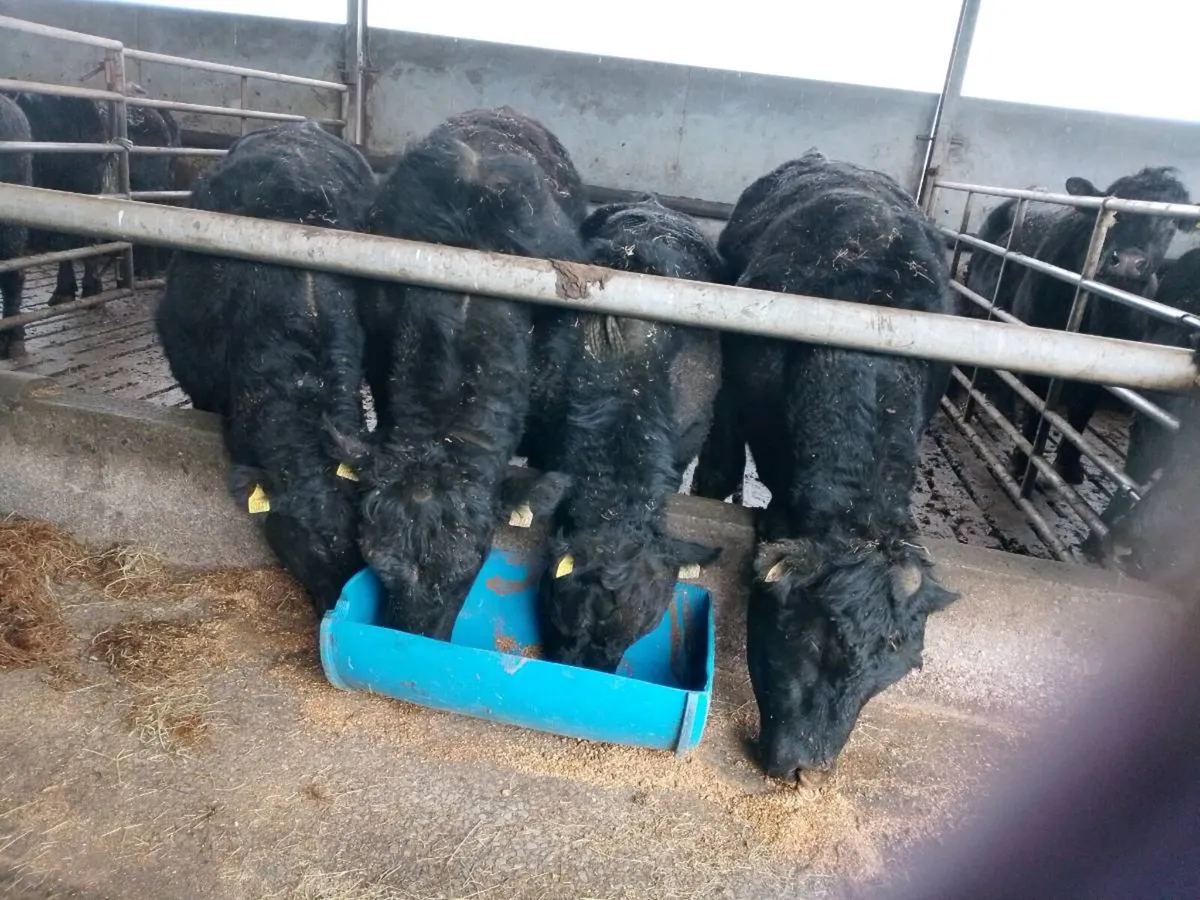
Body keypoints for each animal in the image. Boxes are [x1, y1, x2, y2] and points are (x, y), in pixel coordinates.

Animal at [1007, 167, 1190, 485]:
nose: (1128, 262)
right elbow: (1034, 406)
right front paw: (1022, 461)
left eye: (1170, 223)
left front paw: (1068, 465)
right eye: (1115, 213)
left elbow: (1081, 413)